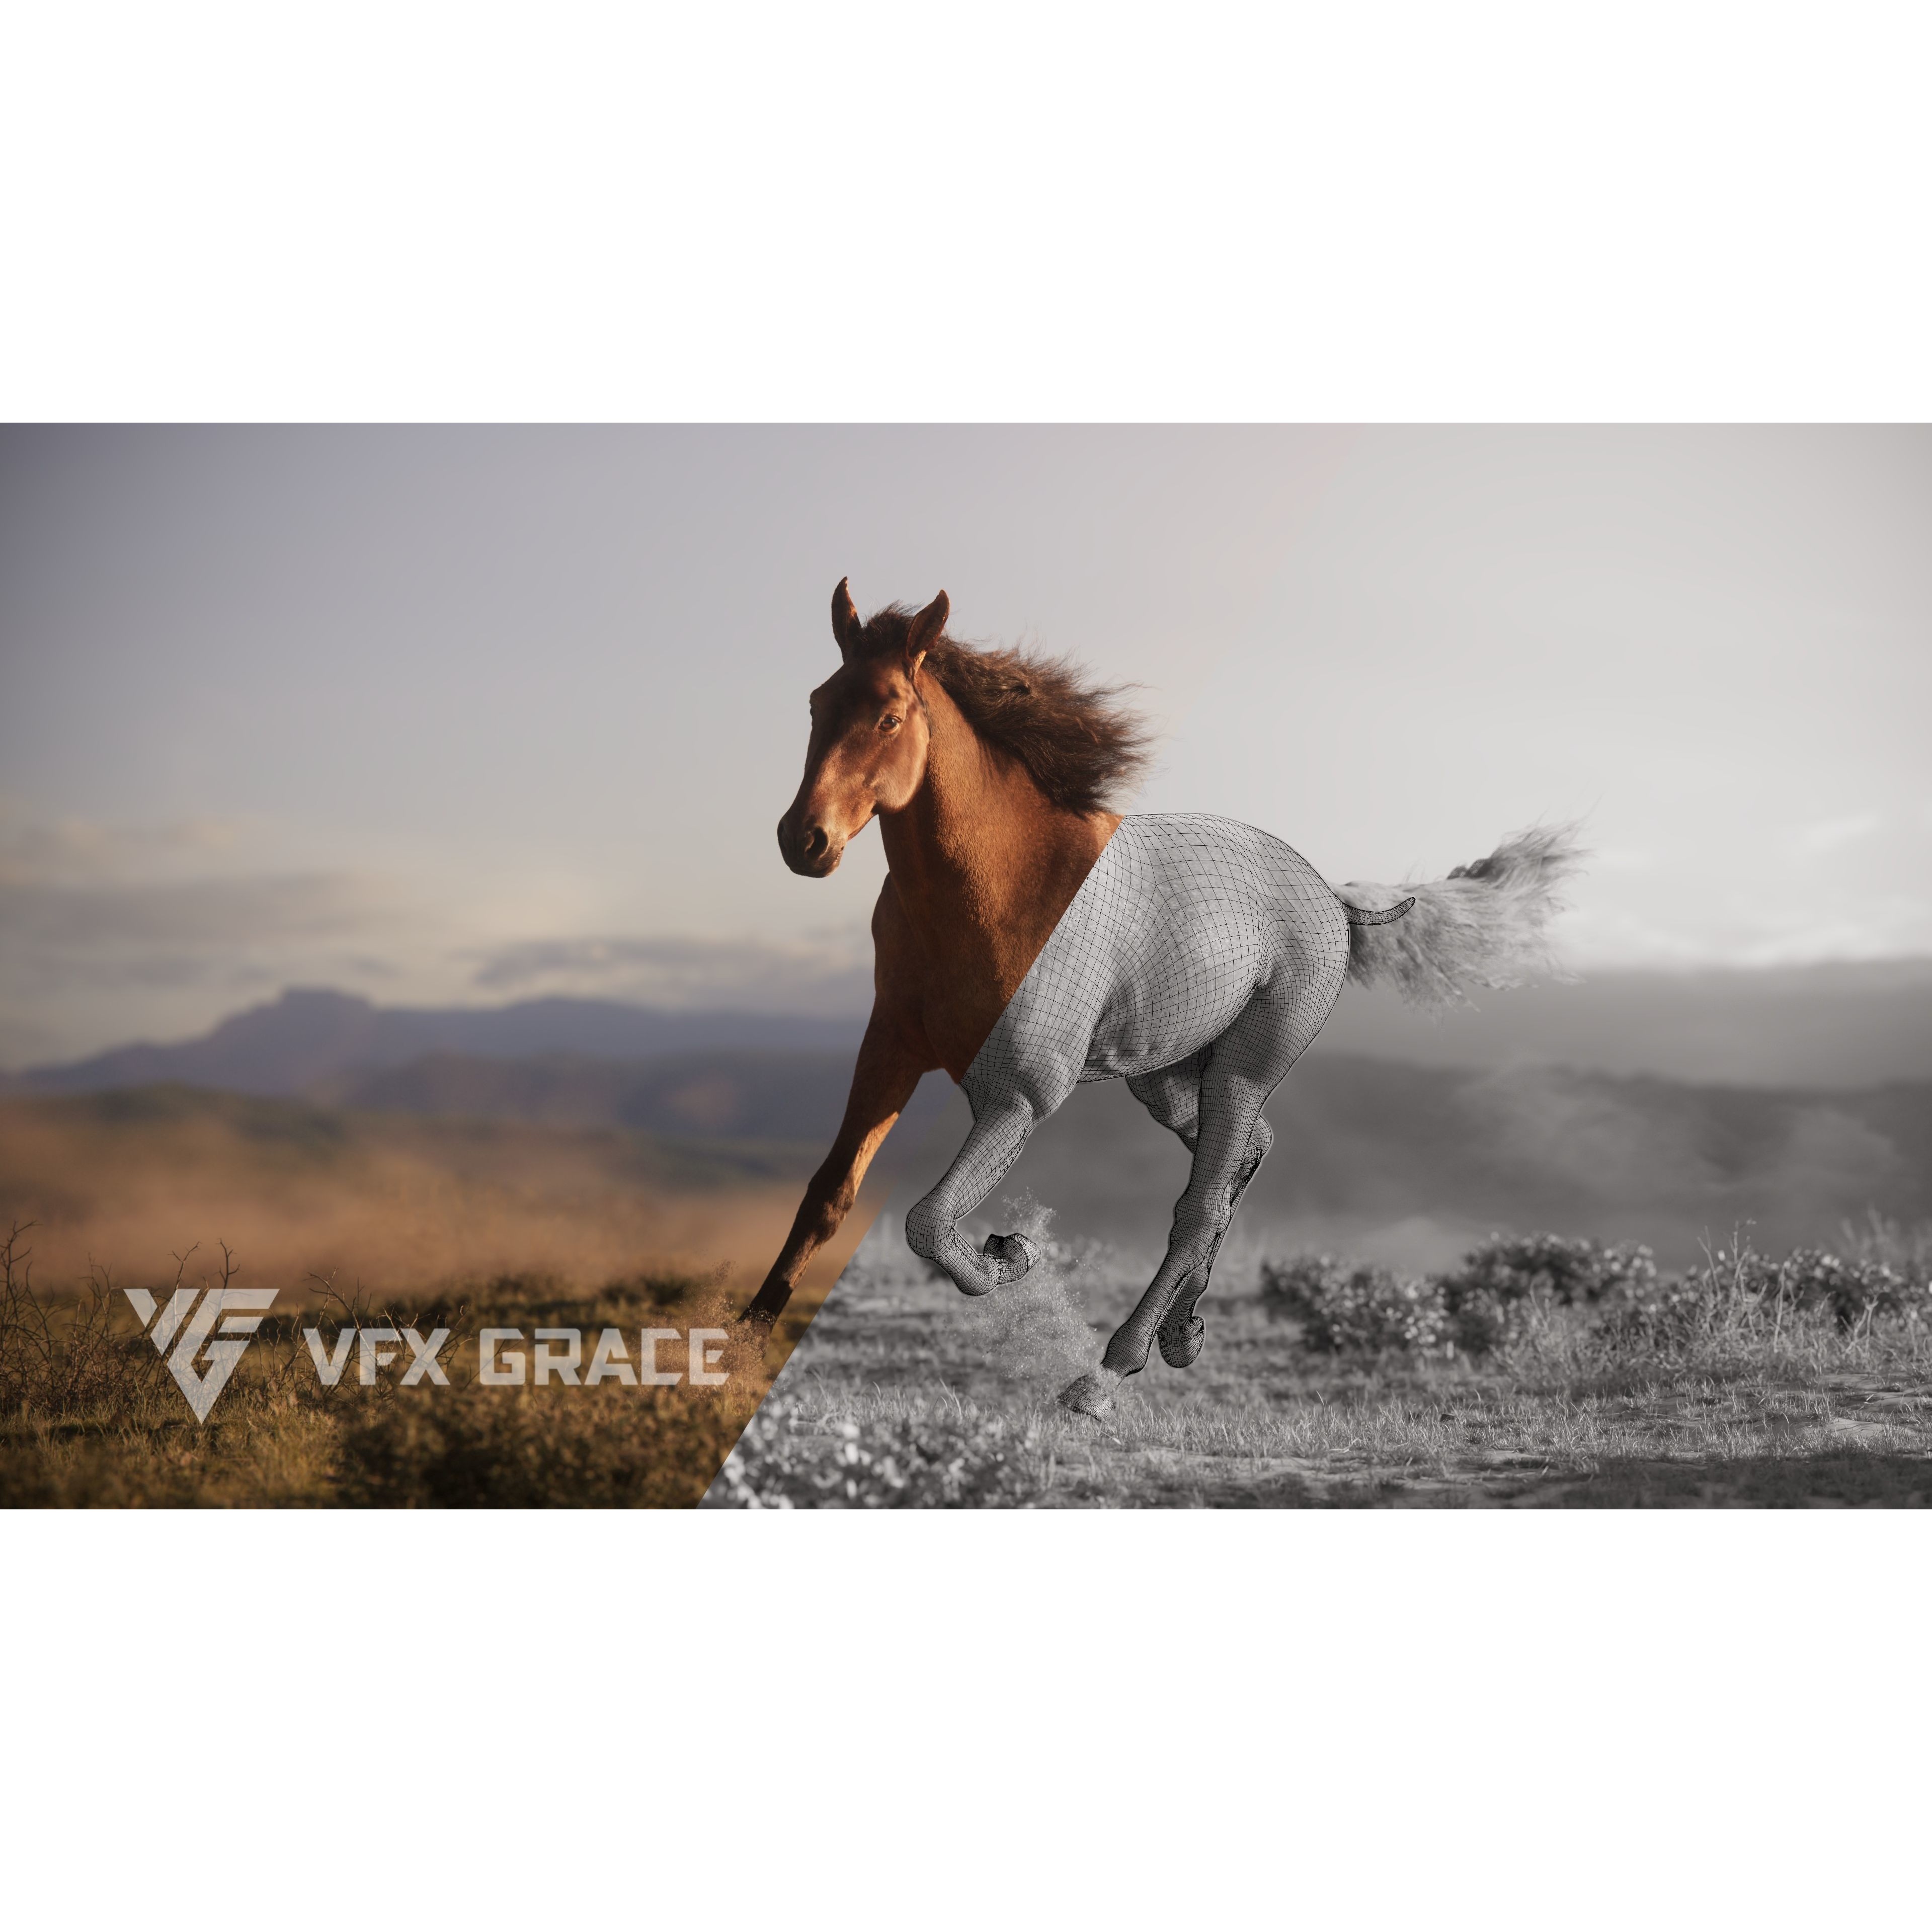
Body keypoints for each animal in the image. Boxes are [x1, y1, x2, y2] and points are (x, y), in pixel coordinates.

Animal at [742, 580, 1582, 1416]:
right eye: (819, 704)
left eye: (888, 714)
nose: (803, 841)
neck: (993, 893)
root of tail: (1331, 895)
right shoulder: (891, 1048)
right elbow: (832, 1193)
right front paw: (744, 1347)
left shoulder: (1017, 1095)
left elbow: (931, 1221)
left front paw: (1012, 1255)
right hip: (1167, 1079)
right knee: (1246, 1157)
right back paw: (1182, 1334)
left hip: (1244, 1066)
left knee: (1200, 1204)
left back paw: (1109, 1370)